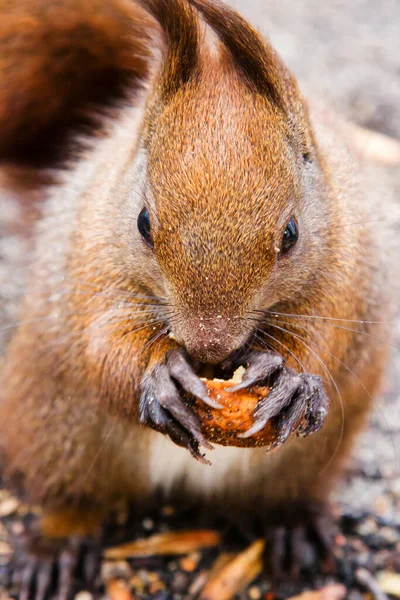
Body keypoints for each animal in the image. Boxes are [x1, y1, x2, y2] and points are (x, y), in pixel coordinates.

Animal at [0, 0, 396, 596]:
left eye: (290, 234)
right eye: (143, 222)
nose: (210, 347)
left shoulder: (347, 274)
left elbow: (327, 340)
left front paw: (294, 384)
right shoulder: (90, 263)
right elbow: (104, 344)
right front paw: (162, 377)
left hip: (312, 460)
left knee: (283, 496)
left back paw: (292, 528)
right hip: (55, 429)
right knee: (71, 497)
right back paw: (56, 548)